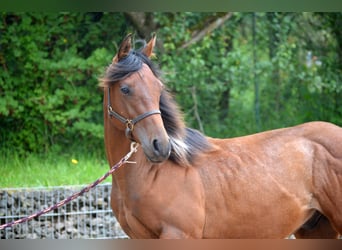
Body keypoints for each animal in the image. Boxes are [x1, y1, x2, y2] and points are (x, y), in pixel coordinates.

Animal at [100, 33, 340, 238]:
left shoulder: (179, 235)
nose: (160, 146)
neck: (150, 176)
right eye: (125, 89)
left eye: (158, 88)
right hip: (315, 229)